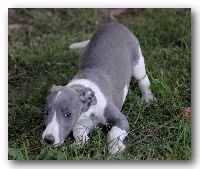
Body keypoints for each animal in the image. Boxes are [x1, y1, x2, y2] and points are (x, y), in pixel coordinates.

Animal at [42, 22, 155, 154]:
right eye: (46, 112)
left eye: (68, 114)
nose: (48, 139)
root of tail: (115, 24)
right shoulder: (81, 124)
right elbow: (78, 133)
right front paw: (79, 143)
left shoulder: (121, 119)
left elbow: (113, 132)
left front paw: (115, 147)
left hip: (137, 62)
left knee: (143, 81)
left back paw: (147, 98)